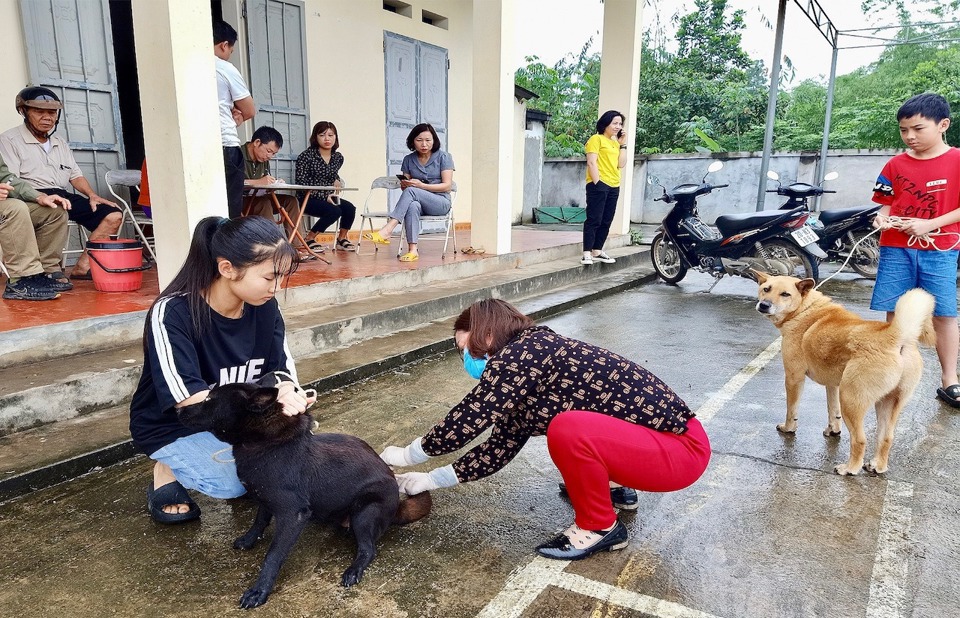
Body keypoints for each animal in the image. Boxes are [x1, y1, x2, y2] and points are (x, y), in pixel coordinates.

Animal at [178, 382, 434, 608]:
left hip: (364, 512)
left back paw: (354, 569)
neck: (262, 442)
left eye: (209, 400)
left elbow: (273, 556)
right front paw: (249, 540)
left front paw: (259, 591)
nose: (176, 410)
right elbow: (259, 521)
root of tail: (397, 506)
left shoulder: (293, 514)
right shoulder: (266, 500)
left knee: (368, 549)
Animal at [752, 270, 932, 476]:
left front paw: (788, 428)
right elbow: (832, 411)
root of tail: (894, 336)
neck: (805, 309)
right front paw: (833, 431)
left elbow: (792, 410)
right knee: (886, 438)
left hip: (850, 401)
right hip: (886, 403)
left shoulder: (793, 378)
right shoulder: (833, 385)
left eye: (785, 294)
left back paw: (850, 468)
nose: (764, 304)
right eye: (766, 289)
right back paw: (877, 465)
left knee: (860, 440)